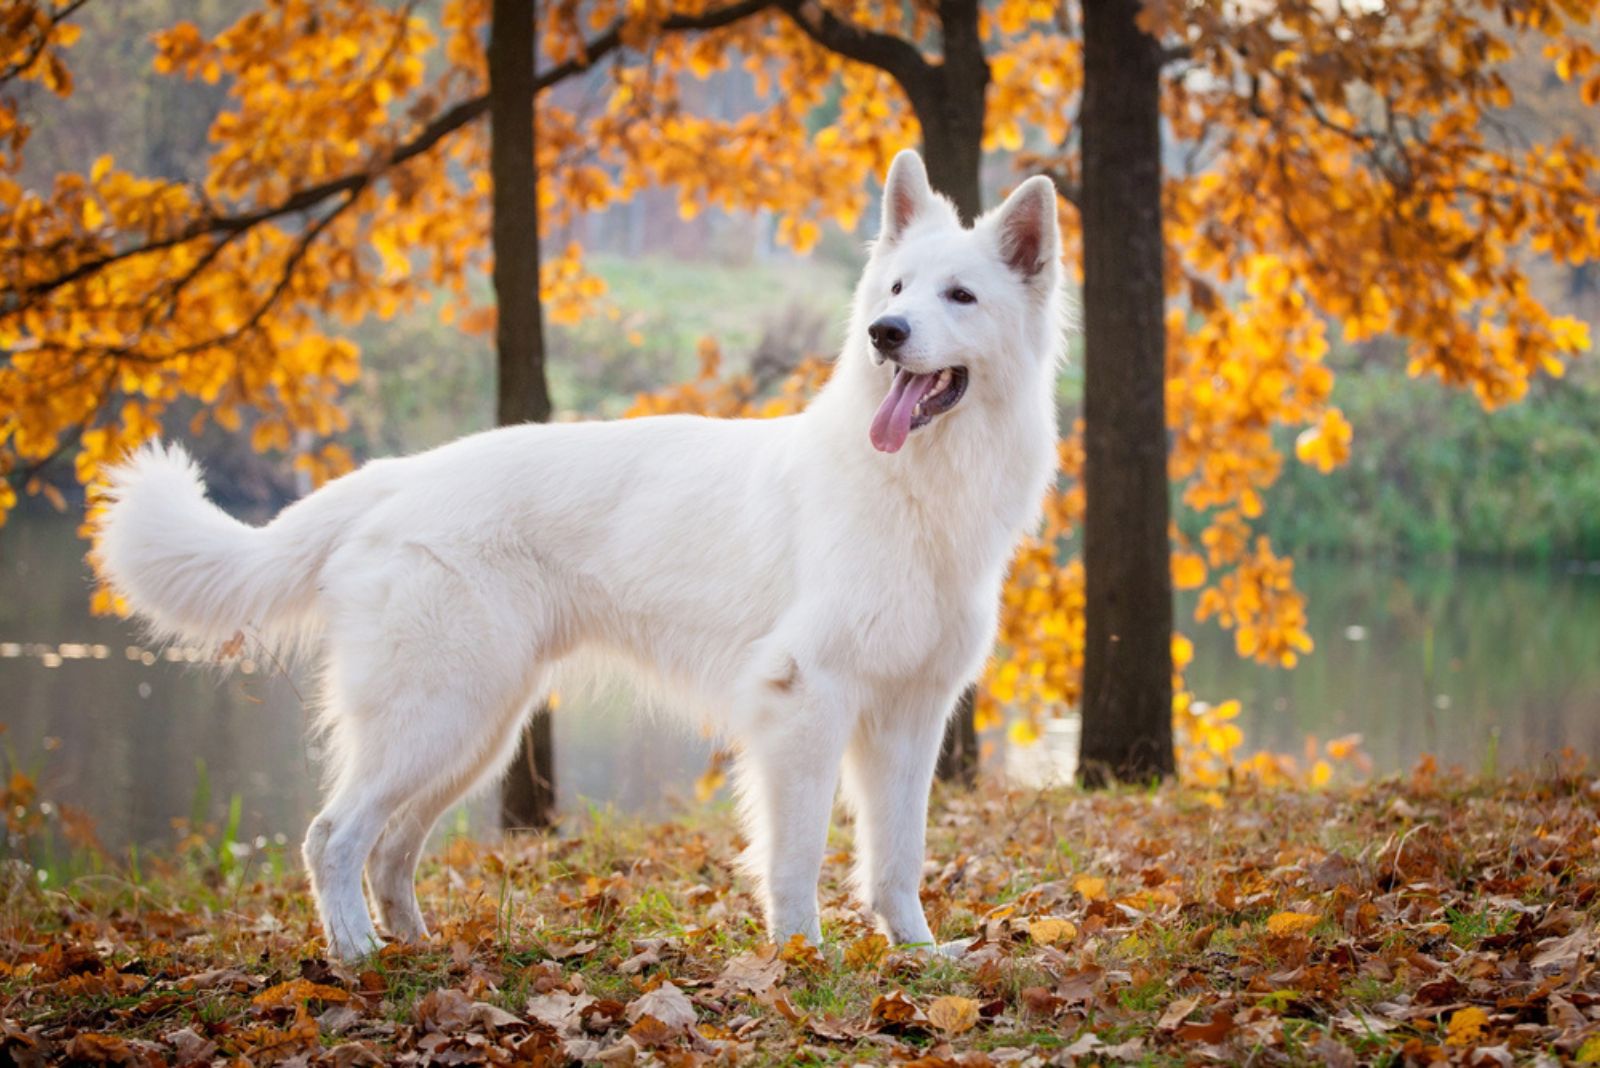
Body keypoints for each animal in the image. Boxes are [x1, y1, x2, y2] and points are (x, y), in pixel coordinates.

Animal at [96, 150, 1062, 959]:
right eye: (896, 288)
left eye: (960, 296)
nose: (886, 333)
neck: (915, 489)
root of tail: (395, 474)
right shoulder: (804, 703)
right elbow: (795, 857)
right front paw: (801, 958)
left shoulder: (909, 718)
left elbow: (898, 857)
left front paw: (918, 956)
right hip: (439, 715)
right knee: (333, 836)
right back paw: (359, 956)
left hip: (476, 730)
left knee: (390, 849)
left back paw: (416, 949)